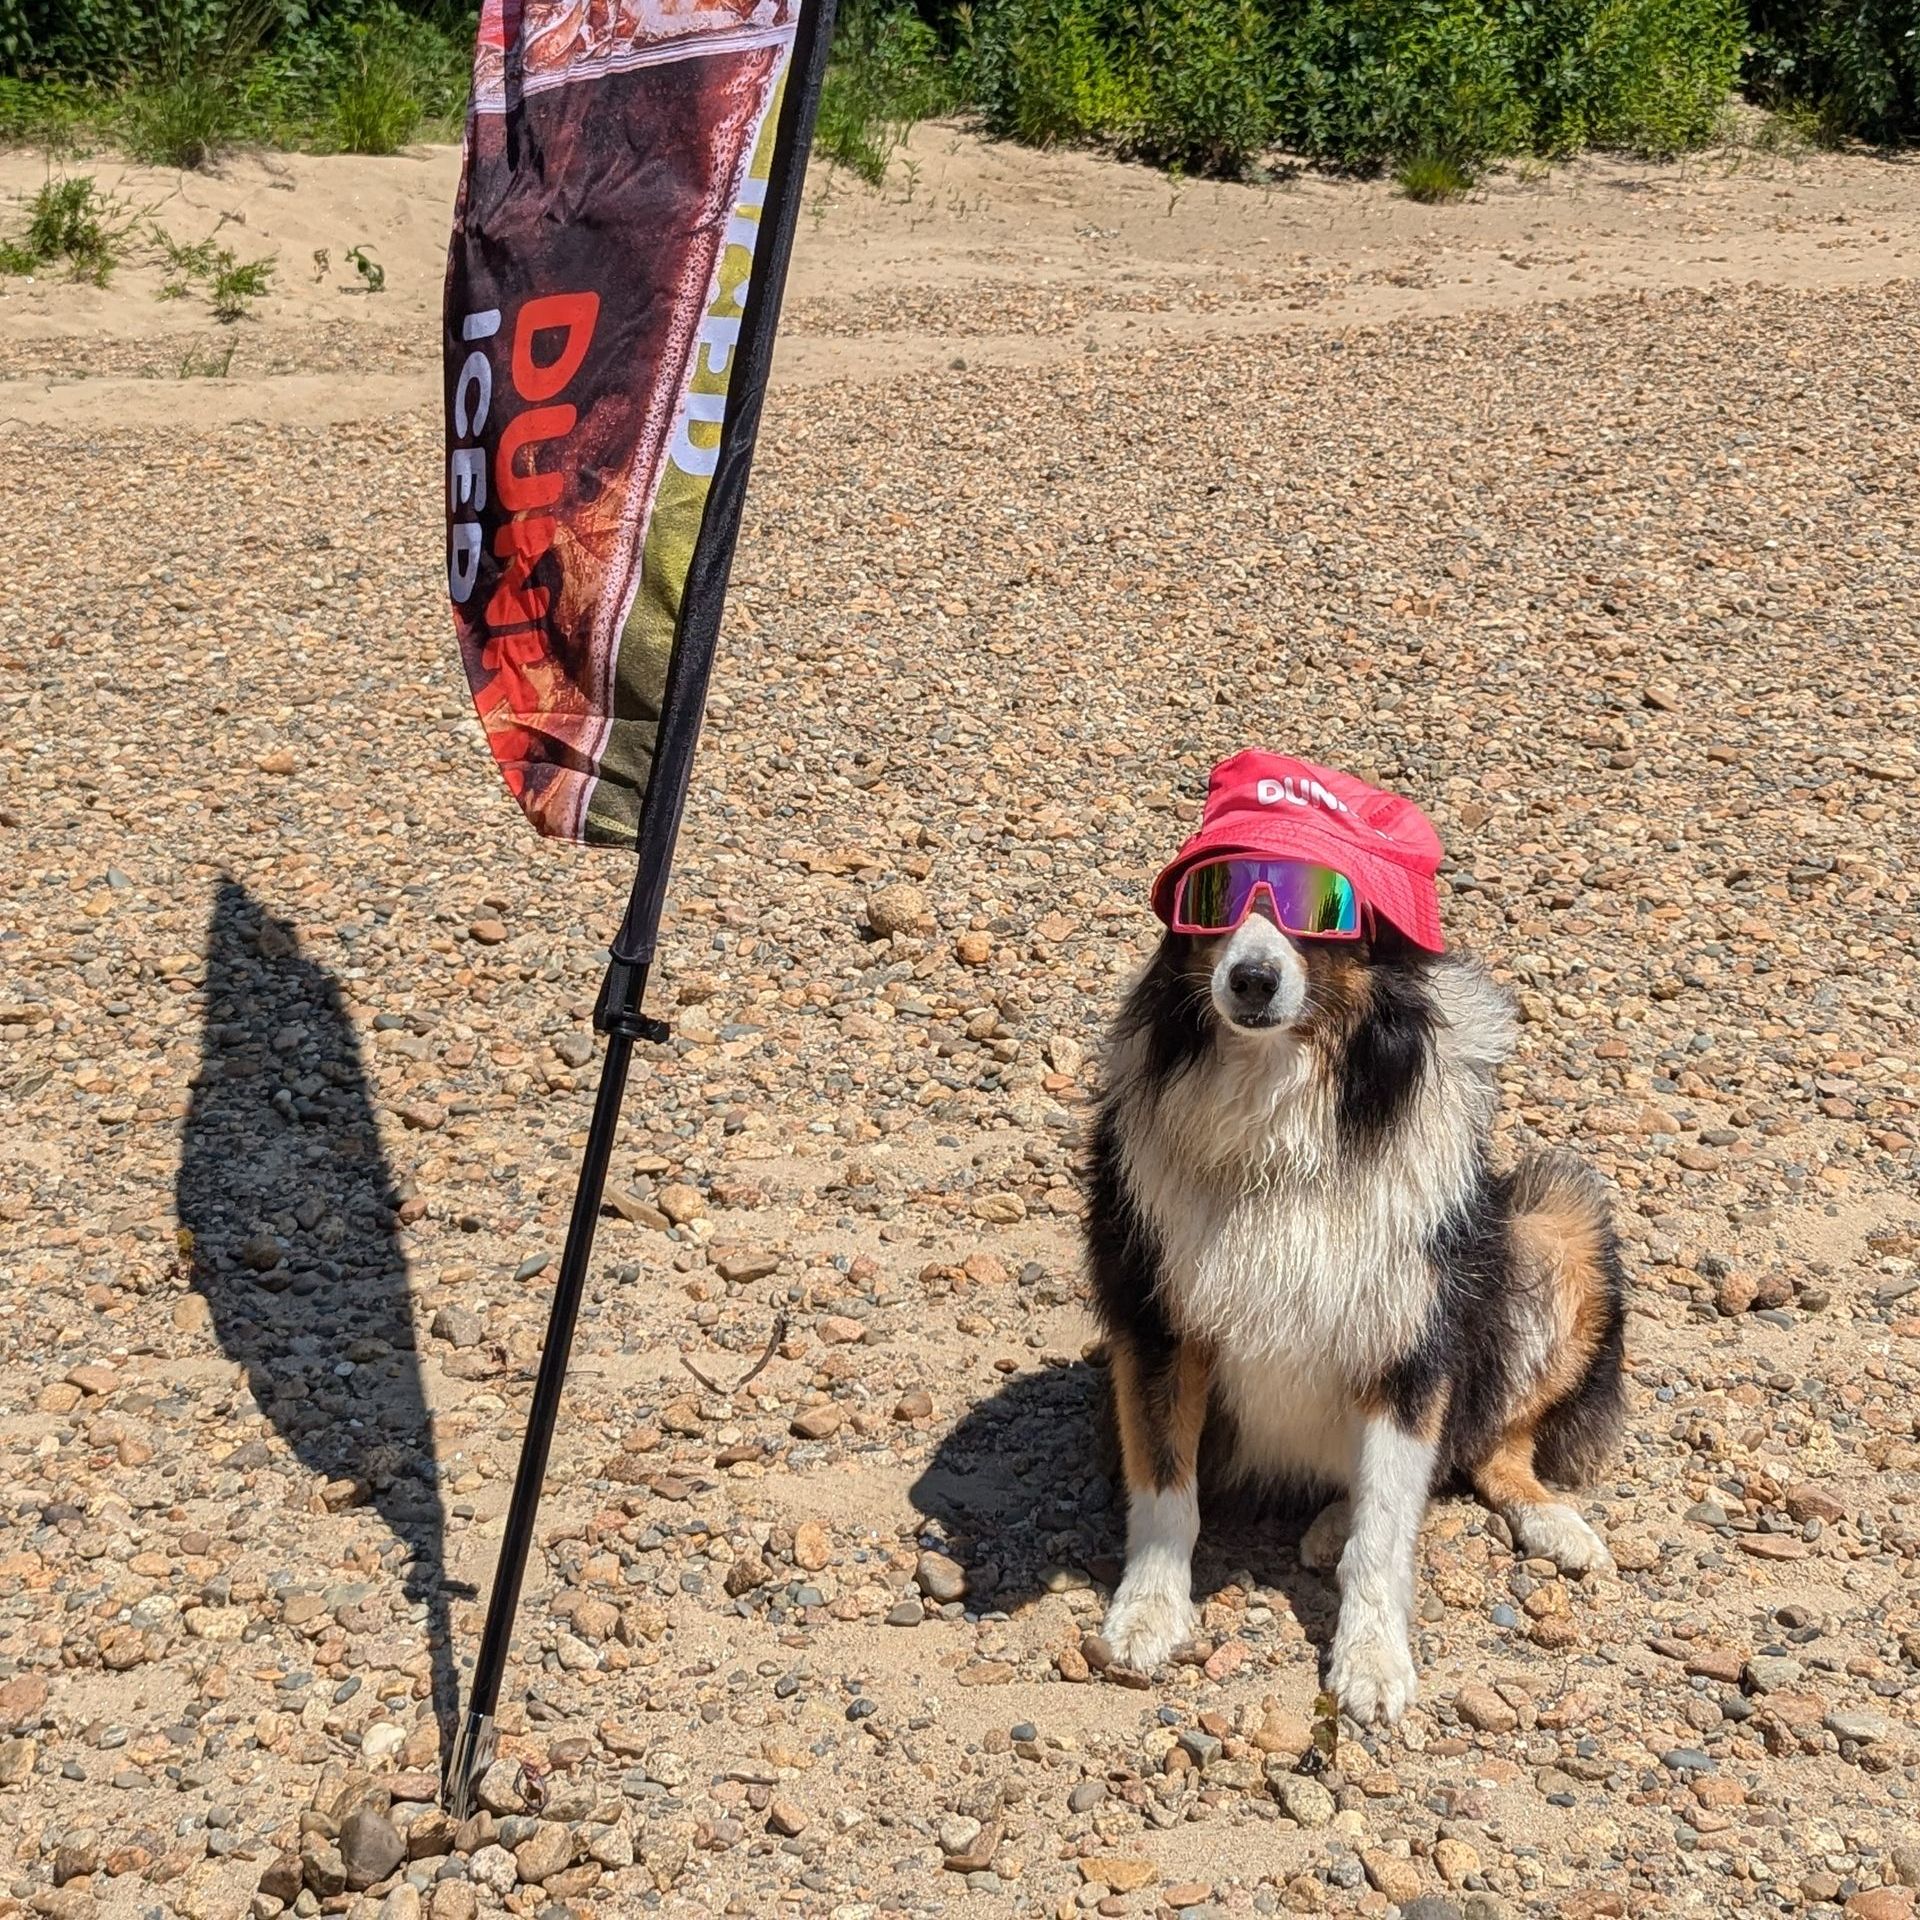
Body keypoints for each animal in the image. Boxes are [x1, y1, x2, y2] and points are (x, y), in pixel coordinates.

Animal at [1082, 752, 1620, 1728]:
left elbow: (1385, 1527)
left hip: (1555, 1223)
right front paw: (1148, 1612)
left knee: (1486, 1448)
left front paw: (1371, 1660)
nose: (1252, 979)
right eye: (1213, 899)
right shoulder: (1154, 1313)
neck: (1285, 1111)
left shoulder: (1409, 1344)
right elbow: (1166, 1486)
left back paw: (1549, 1520)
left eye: (1321, 909)